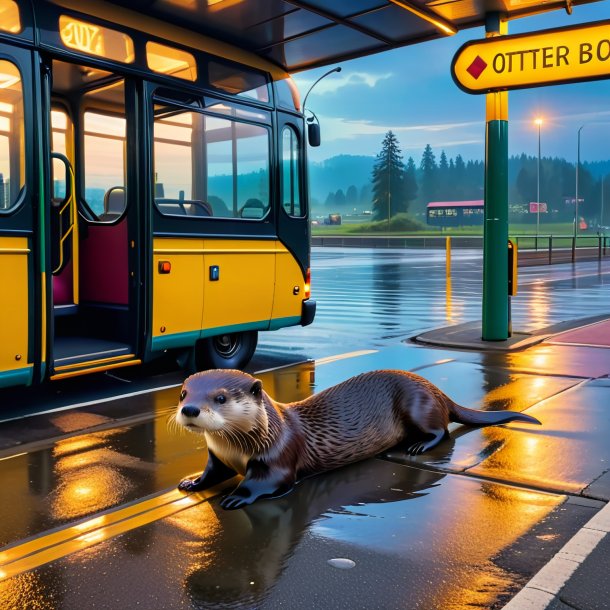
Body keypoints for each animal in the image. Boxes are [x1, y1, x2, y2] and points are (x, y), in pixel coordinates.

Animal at [173, 366, 540, 508]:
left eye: (220, 397)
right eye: (183, 393)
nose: (190, 409)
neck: (237, 450)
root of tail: (436, 389)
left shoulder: (279, 456)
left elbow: (269, 482)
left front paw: (237, 496)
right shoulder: (217, 456)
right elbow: (211, 472)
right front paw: (191, 481)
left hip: (417, 403)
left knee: (441, 430)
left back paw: (418, 445)